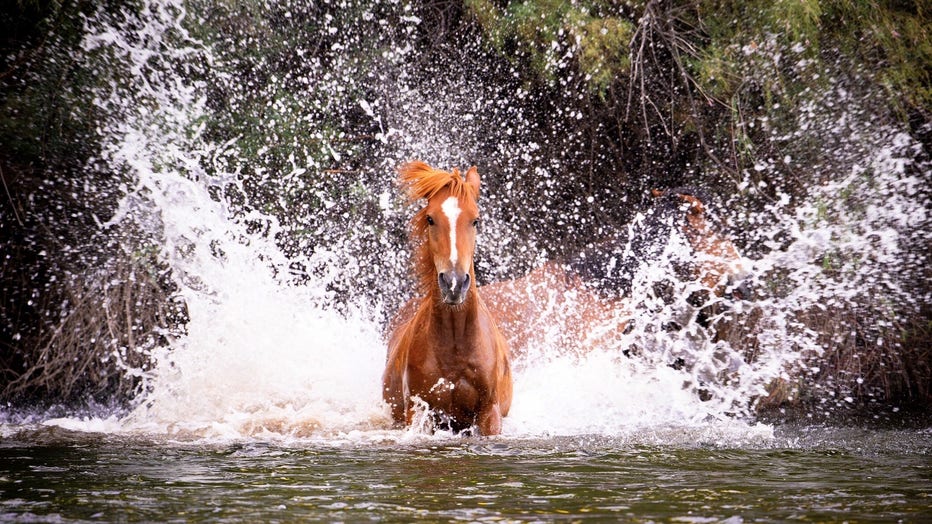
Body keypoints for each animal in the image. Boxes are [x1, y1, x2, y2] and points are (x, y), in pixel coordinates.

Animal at [378, 162, 512, 436]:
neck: (455, 344)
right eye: (431, 219)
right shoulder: (418, 410)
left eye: (476, 220)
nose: (454, 283)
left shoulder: (489, 412)